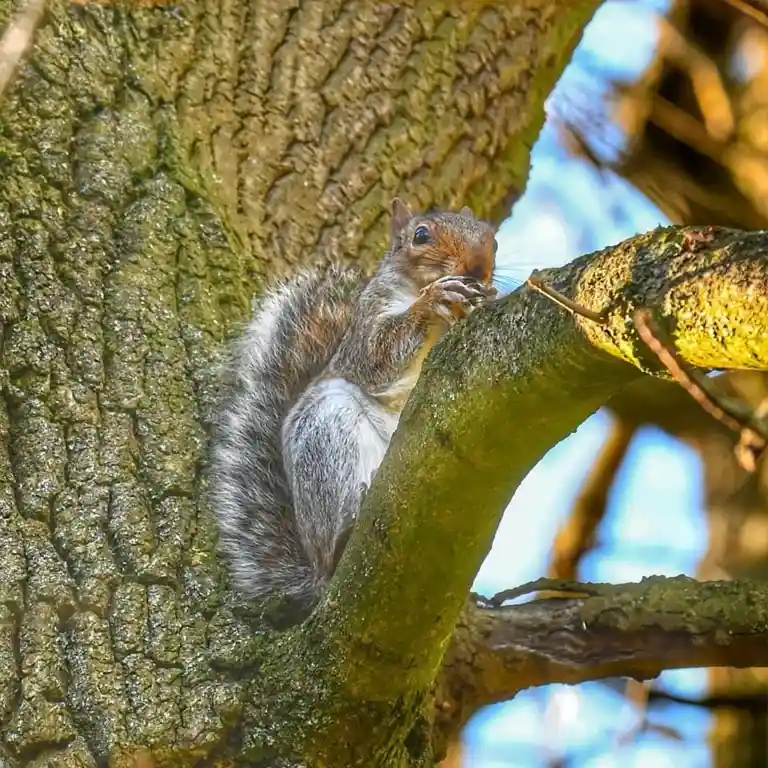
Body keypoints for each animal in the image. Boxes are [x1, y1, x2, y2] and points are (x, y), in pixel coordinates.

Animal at [210, 198, 498, 623]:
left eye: (492, 239)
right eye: (421, 235)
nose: (478, 265)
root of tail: (317, 574)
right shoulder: (365, 331)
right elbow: (376, 356)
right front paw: (432, 302)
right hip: (327, 427)